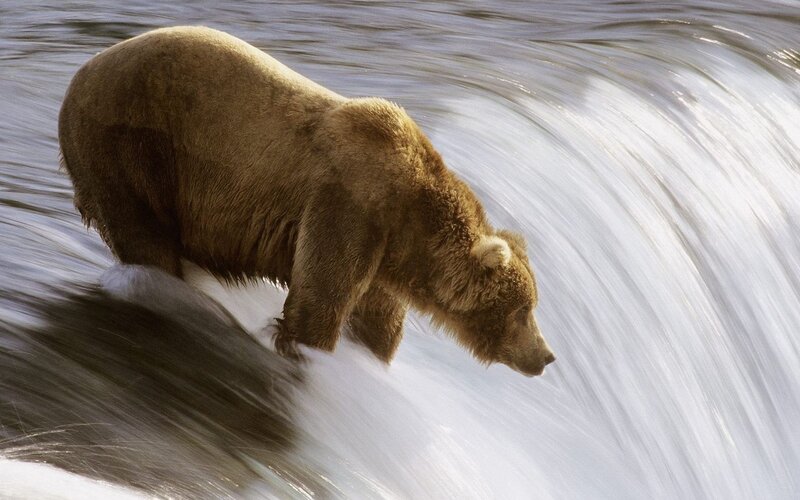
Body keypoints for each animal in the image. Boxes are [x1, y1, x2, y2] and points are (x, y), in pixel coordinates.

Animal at [58, 26, 556, 376]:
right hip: (132, 147)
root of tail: (79, 74)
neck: (410, 220)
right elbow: (320, 299)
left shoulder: (383, 254)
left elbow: (377, 321)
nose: (546, 355)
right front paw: (308, 351)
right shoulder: (348, 206)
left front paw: (370, 356)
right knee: (145, 236)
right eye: (523, 309)